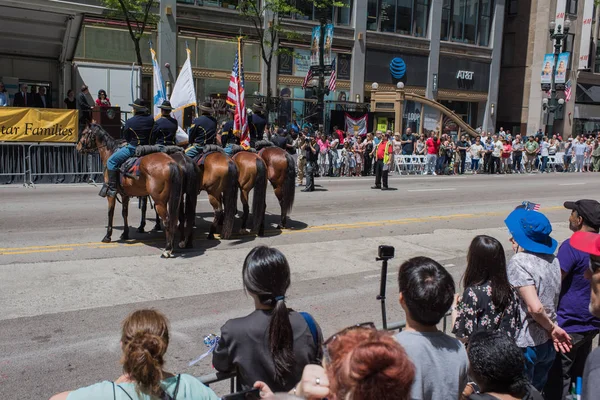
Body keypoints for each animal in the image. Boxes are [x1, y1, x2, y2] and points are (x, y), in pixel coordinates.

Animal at [78, 123, 184, 258]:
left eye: (84, 133)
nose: (77, 147)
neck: (110, 152)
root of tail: (170, 163)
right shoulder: (125, 195)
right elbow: (125, 213)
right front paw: (125, 233)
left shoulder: (111, 194)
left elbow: (110, 213)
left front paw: (108, 236)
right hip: (174, 199)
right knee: (175, 220)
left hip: (159, 201)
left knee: (167, 221)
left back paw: (167, 249)